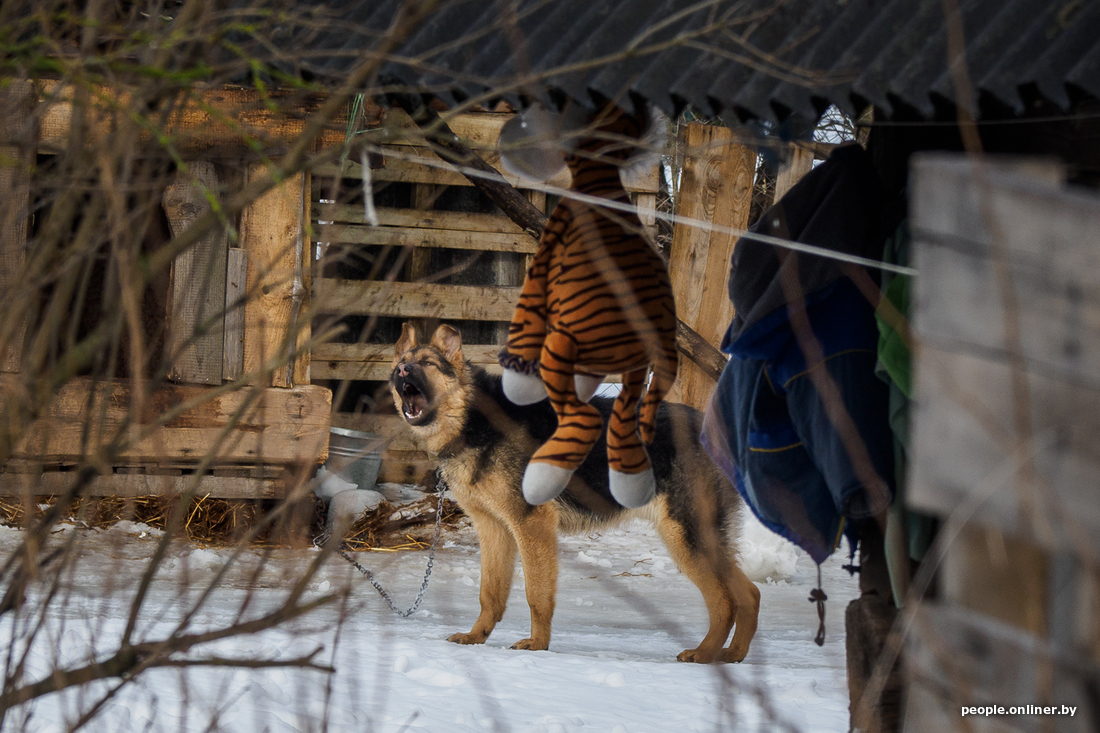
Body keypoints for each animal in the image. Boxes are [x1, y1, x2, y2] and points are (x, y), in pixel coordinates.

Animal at [391, 323, 761, 660]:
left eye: (427, 363)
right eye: (401, 365)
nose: (400, 372)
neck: (472, 417)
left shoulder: (532, 526)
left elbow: (536, 594)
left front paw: (538, 645)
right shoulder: (494, 529)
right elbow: (490, 594)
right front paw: (476, 637)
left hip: (686, 538)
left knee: (724, 602)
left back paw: (704, 653)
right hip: (702, 540)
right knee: (750, 594)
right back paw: (731, 654)